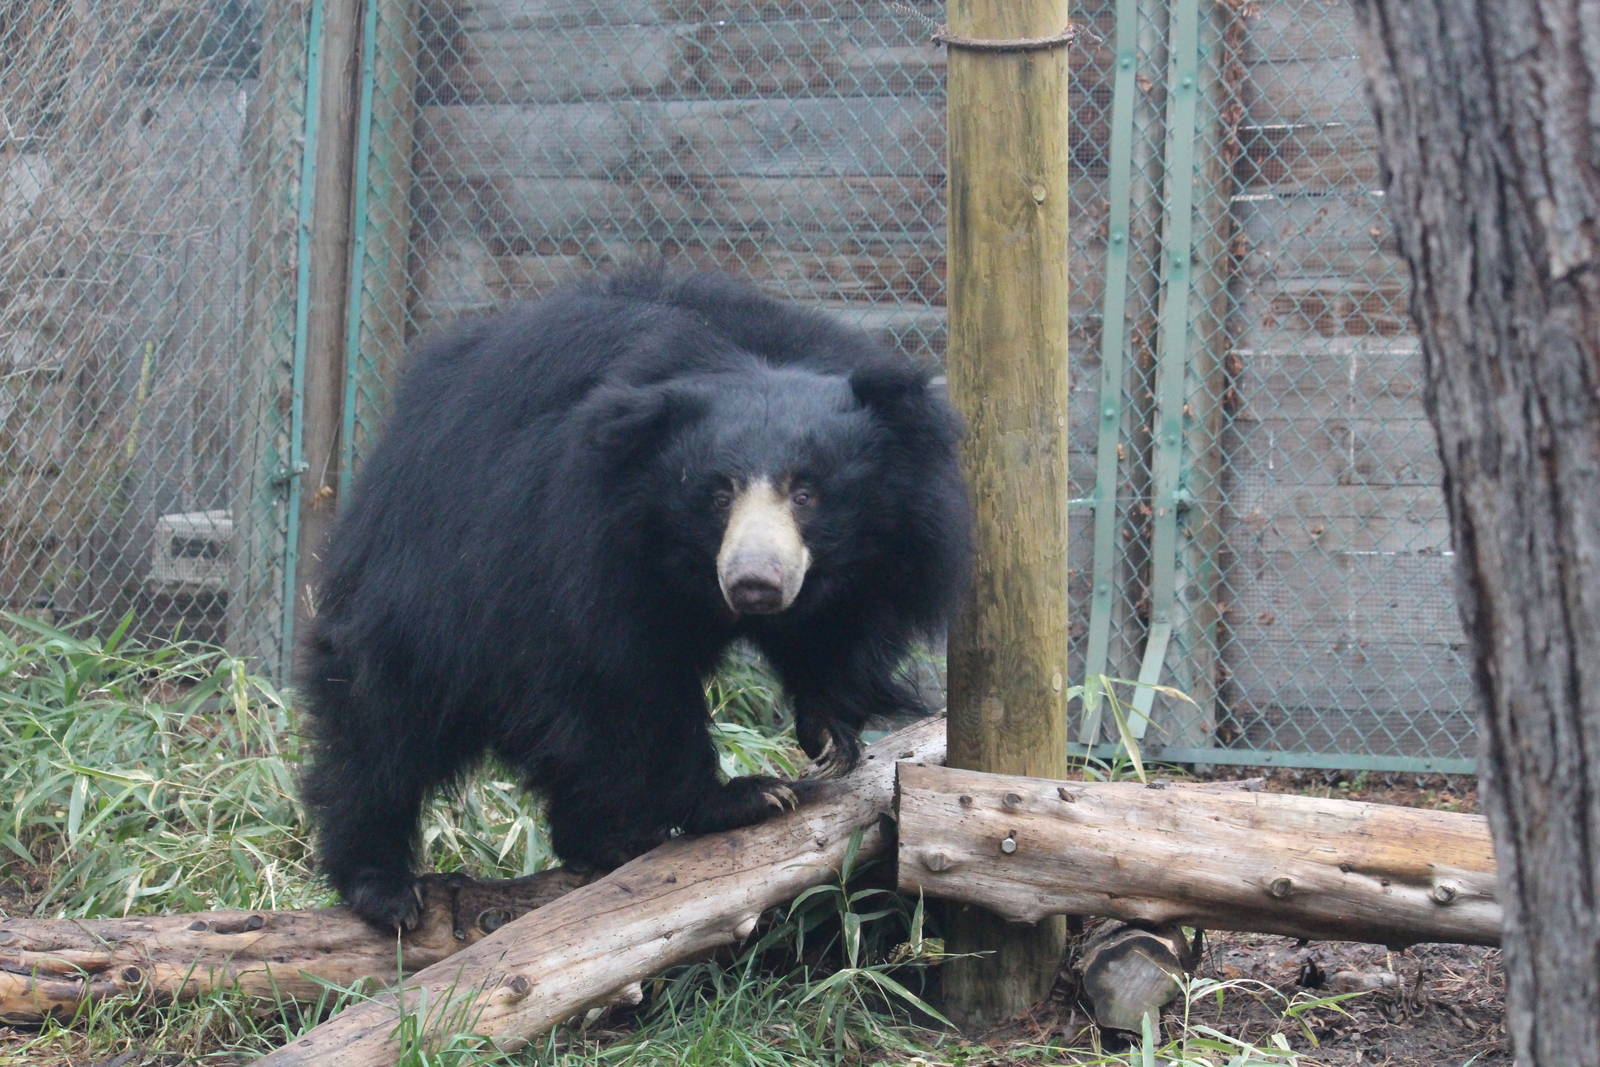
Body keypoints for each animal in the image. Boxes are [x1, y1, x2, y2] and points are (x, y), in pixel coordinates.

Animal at [298, 266, 972, 930]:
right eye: (717, 493)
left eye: (805, 492)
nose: (755, 584)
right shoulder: (583, 546)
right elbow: (630, 683)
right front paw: (744, 796)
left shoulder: (893, 538)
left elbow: (843, 624)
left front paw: (831, 737)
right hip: (423, 584)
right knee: (384, 726)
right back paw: (387, 886)